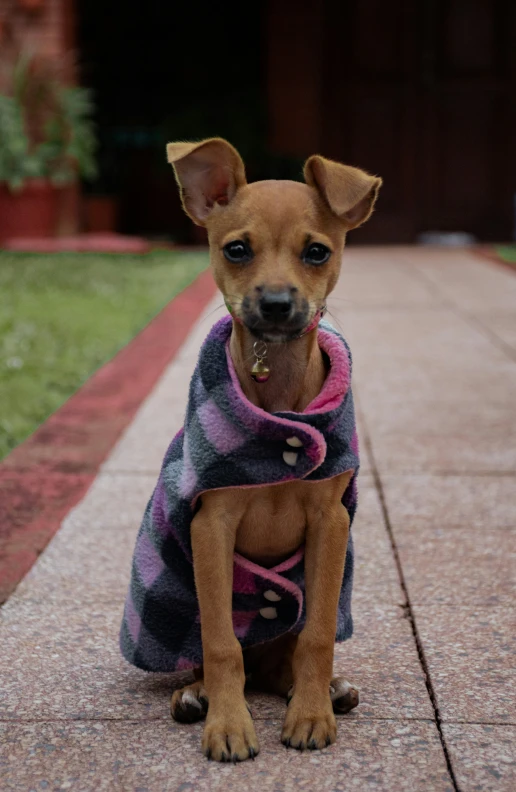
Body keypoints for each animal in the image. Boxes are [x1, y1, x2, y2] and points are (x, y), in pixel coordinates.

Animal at [120, 139, 378, 764]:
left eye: (317, 251)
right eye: (236, 249)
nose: (278, 303)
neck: (277, 393)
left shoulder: (330, 522)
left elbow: (316, 636)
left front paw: (309, 714)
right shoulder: (212, 525)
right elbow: (221, 644)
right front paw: (229, 724)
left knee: (284, 654)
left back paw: (326, 691)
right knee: (218, 657)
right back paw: (196, 696)